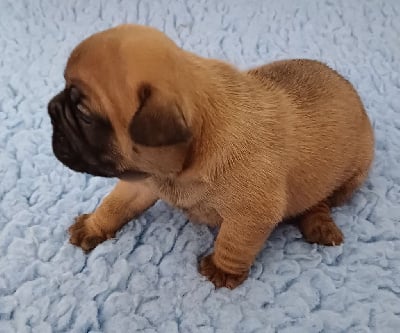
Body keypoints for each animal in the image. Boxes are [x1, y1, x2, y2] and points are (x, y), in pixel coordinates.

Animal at [48, 24, 374, 288]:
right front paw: (94, 225)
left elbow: (233, 242)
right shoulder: (140, 181)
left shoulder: (250, 214)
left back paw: (319, 224)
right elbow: (114, 205)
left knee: (320, 201)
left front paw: (222, 269)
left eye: (84, 115)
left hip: (351, 177)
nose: (51, 107)